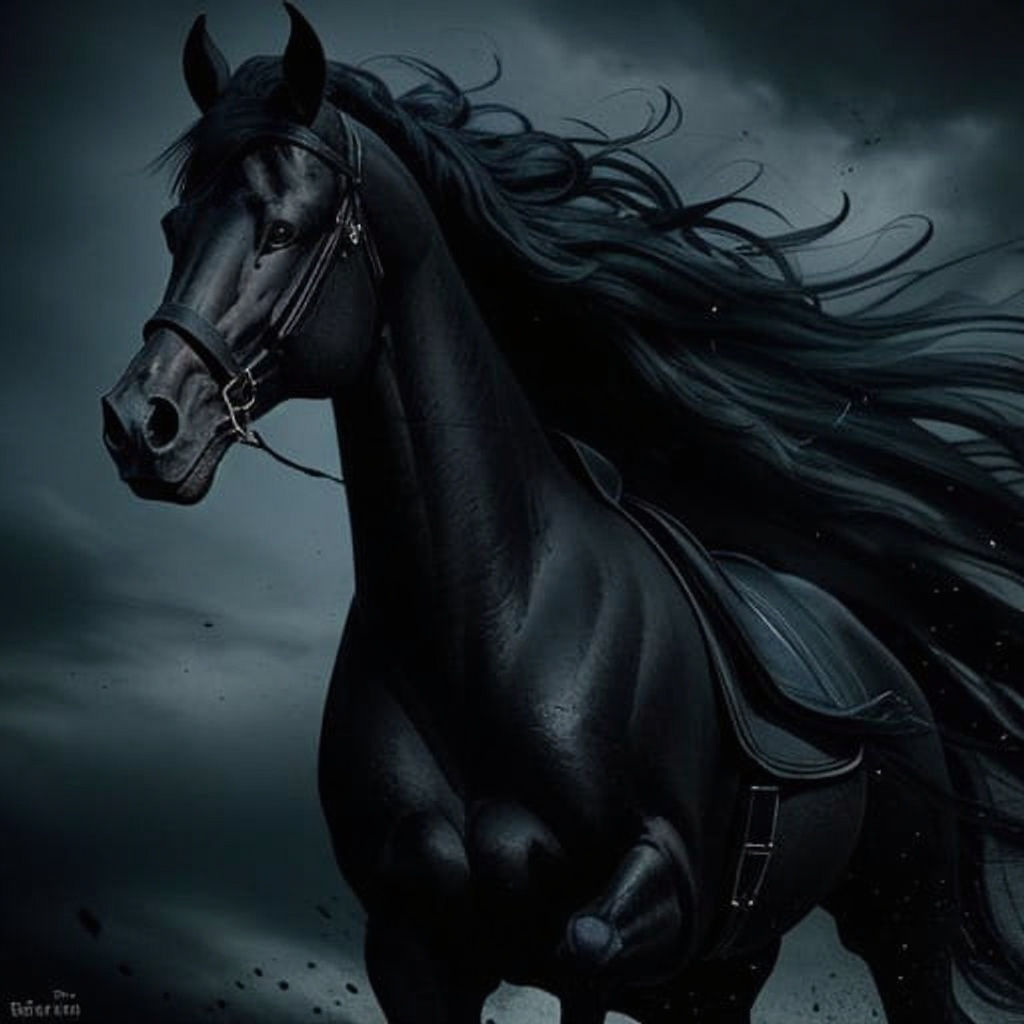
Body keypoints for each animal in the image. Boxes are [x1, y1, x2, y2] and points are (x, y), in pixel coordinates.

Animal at [101, 7, 1024, 1022]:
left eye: (284, 228)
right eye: (174, 225)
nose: (142, 424)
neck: (491, 626)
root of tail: (875, 651)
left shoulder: (652, 896)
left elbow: (583, 946)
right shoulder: (411, 949)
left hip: (901, 921)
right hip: (734, 970)